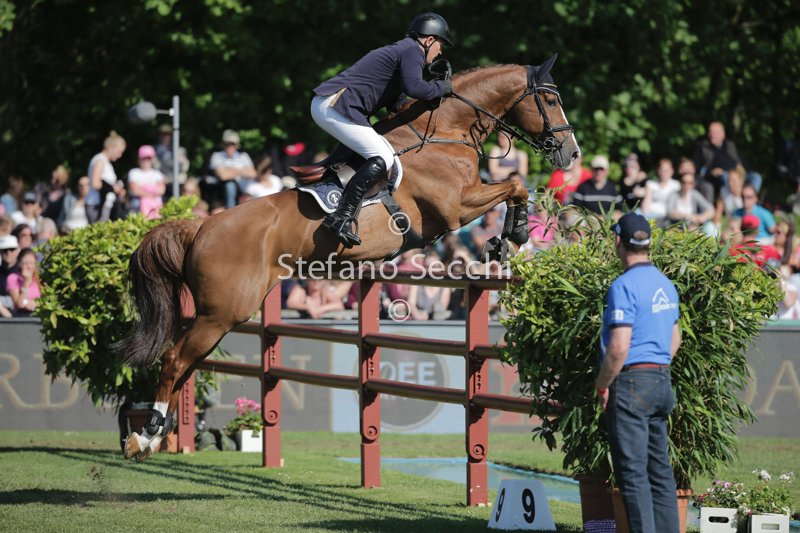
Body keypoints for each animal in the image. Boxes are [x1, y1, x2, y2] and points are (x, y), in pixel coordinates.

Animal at [114, 55, 580, 460]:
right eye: (551, 100)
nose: (571, 154)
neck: (444, 132)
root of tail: (200, 227)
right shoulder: (455, 208)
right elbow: (516, 183)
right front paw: (512, 238)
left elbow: (515, 184)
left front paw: (506, 241)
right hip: (222, 313)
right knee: (174, 362)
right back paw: (143, 437)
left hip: (218, 317)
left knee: (185, 366)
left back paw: (154, 436)